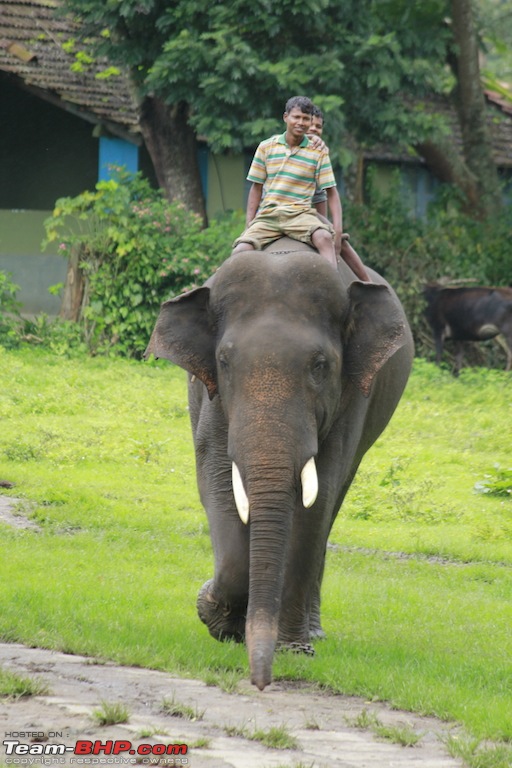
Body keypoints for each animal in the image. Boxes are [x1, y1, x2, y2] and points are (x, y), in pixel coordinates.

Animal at [145, 238, 416, 688]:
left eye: (320, 366)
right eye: (224, 362)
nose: (260, 682)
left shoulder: (350, 397)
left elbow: (316, 501)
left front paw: (292, 649)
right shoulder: (212, 398)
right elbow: (216, 480)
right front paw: (215, 616)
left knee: (333, 506)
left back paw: (313, 633)